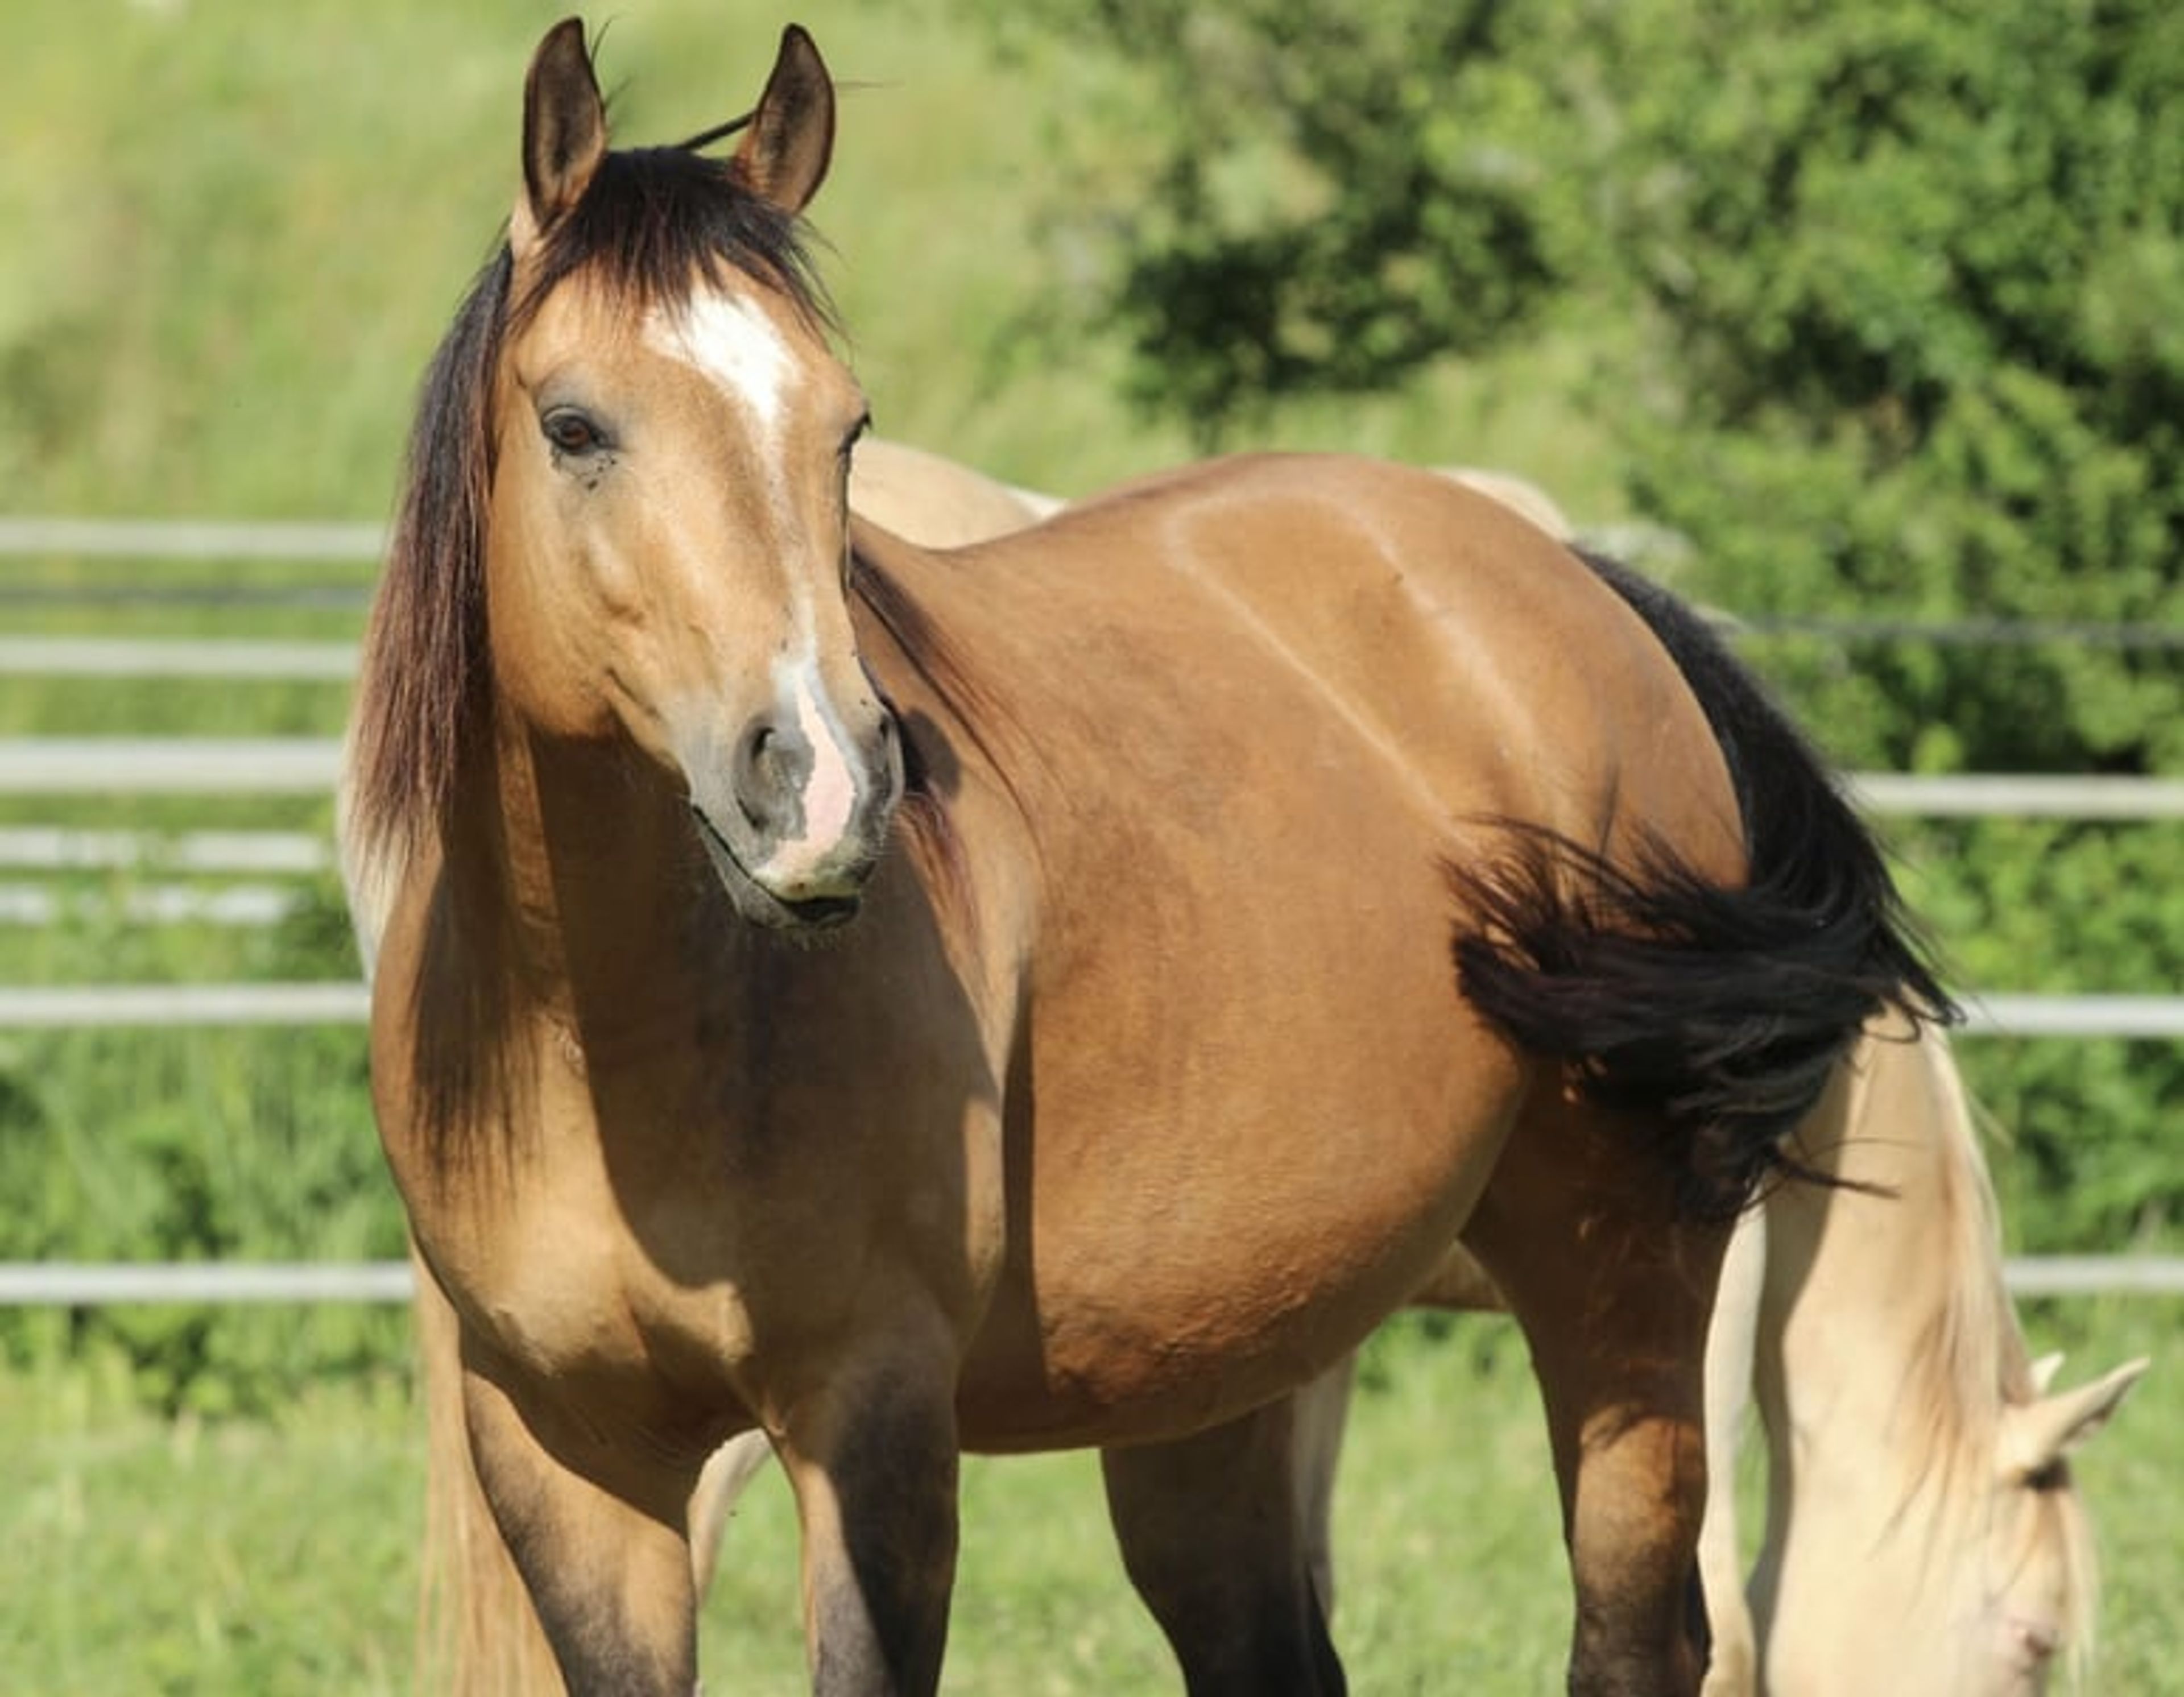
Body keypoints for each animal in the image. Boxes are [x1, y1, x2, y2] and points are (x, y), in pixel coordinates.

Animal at [345, 20, 1950, 1694]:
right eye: (575, 428)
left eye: (845, 428)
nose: (828, 784)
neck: (603, 1036)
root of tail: (1578, 585)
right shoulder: (567, 1459)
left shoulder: (875, 1428)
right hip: (1231, 1365)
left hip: (1622, 1285)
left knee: (1638, 1629)